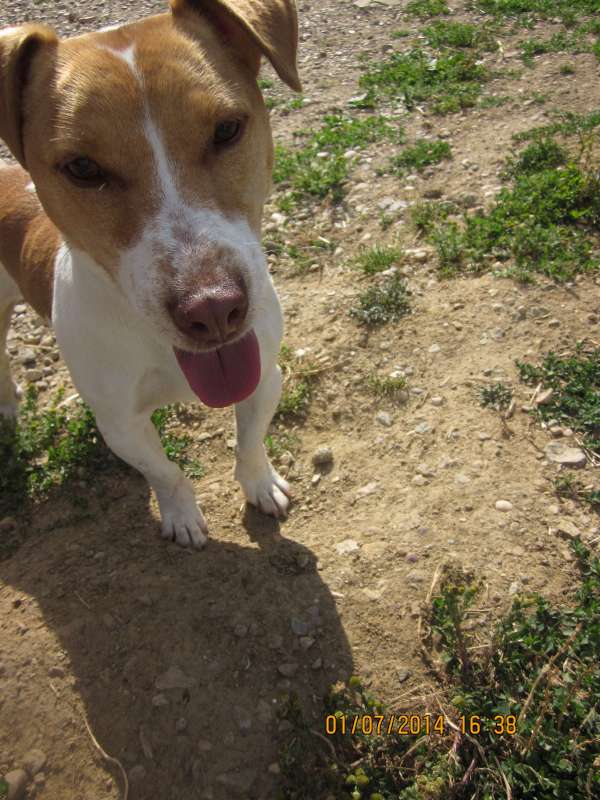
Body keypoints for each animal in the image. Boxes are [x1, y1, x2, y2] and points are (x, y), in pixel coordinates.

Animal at [0, 0, 300, 548]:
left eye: (227, 129)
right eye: (82, 167)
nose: (214, 310)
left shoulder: (265, 376)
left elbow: (249, 443)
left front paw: (261, 485)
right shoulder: (120, 424)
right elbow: (167, 473)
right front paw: (181, 517)